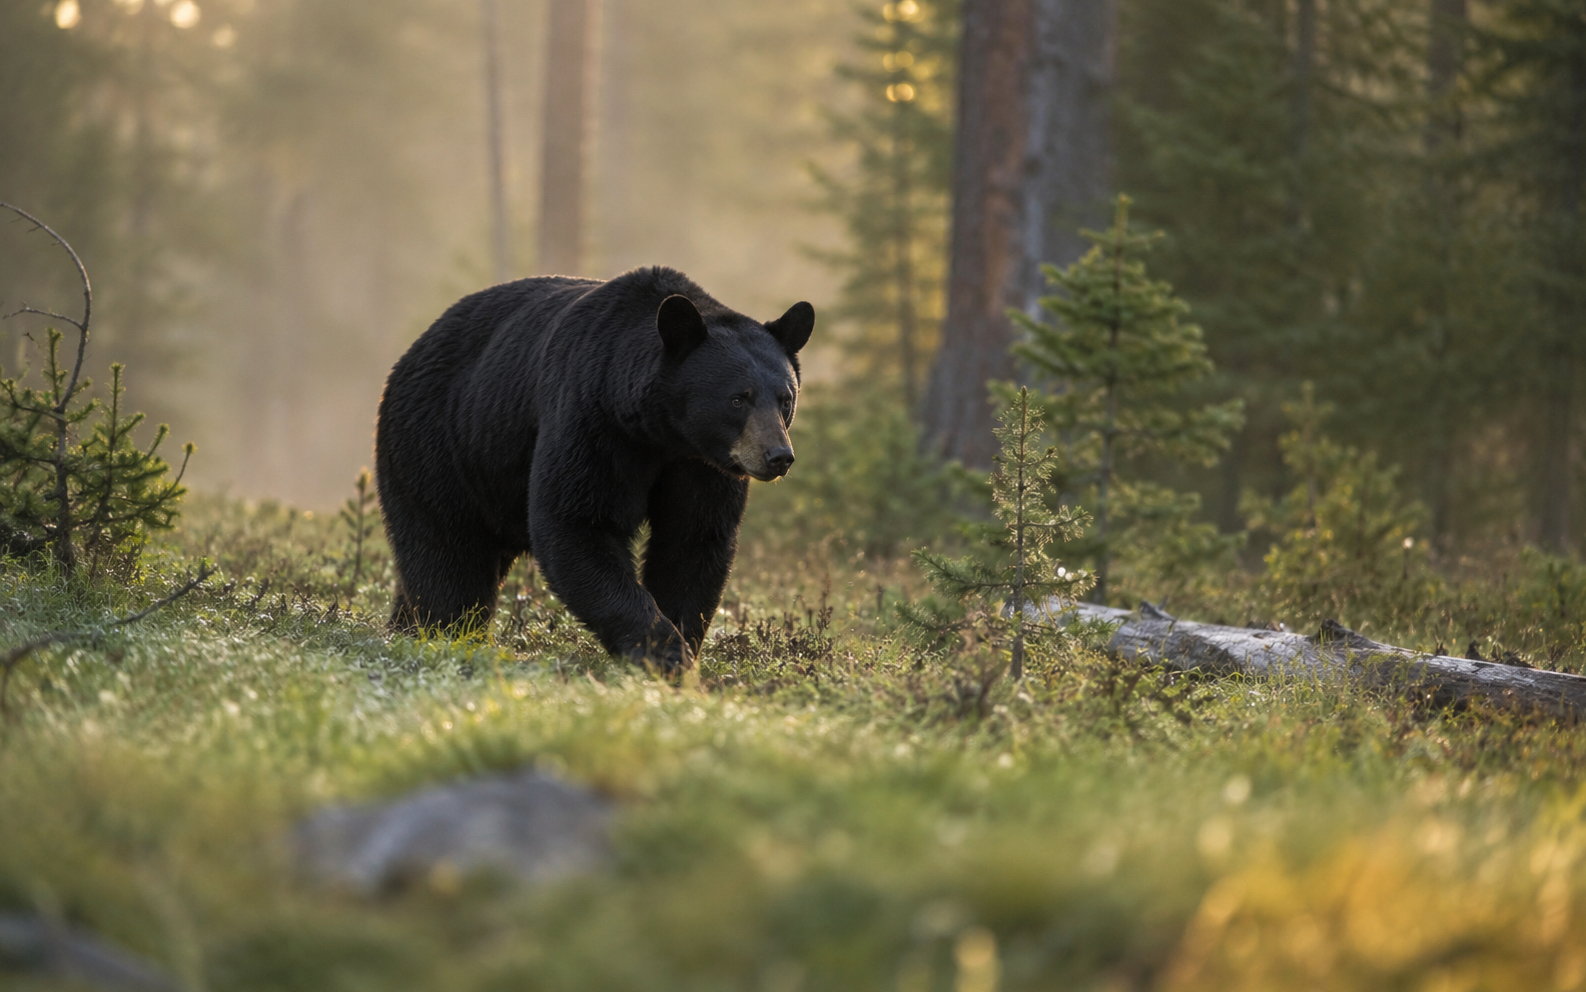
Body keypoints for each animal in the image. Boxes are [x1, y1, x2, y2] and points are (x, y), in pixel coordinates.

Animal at [374, 266, 814, 672]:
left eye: (785, 398)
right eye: (739, 398)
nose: (778, 456)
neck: (661, 431)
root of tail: (412, 350)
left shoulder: (701, 464)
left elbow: (693, 539)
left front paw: (680, 642)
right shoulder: (592, 419)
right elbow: (577, 520)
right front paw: (664, 652)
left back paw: (403, 626)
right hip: (443, 444)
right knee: (446, 552)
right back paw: (448, 632)